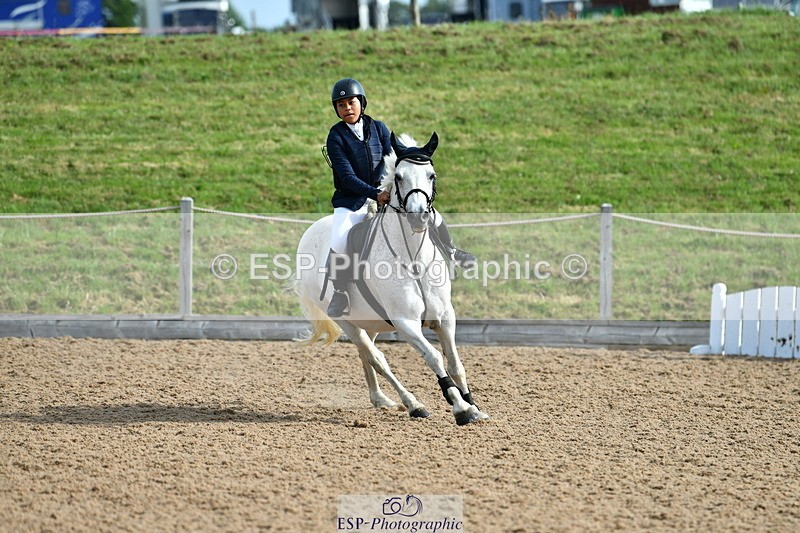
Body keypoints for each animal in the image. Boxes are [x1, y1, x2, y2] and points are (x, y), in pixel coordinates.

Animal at [294, 132, 489, 426]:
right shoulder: (405, 322)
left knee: (367, 354)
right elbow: (434, 358)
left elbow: (455, 364)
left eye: (431, 175)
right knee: (377, 357)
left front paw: (474, 406)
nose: (419, 216)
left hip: (370, 321)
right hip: (348, 322)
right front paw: (460, 407)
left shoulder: (445, 316)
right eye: (398, 177)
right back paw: (413, 404)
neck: (414, 259)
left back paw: (380, 399)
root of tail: (309, 233)